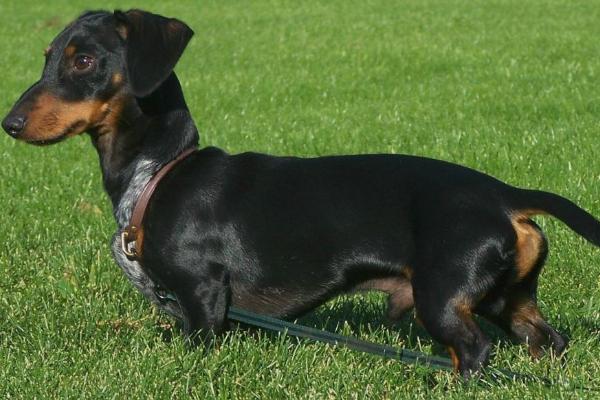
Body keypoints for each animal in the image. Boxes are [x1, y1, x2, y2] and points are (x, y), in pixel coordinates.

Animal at [2, 9, 596, 376]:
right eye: (48, 56)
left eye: (83, 61)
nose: (10, 123)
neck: (158, 174)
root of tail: (504, 194)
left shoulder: (202, 297)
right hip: (503, 297)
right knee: (546, 342)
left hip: (443, 295)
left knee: (474, 354)